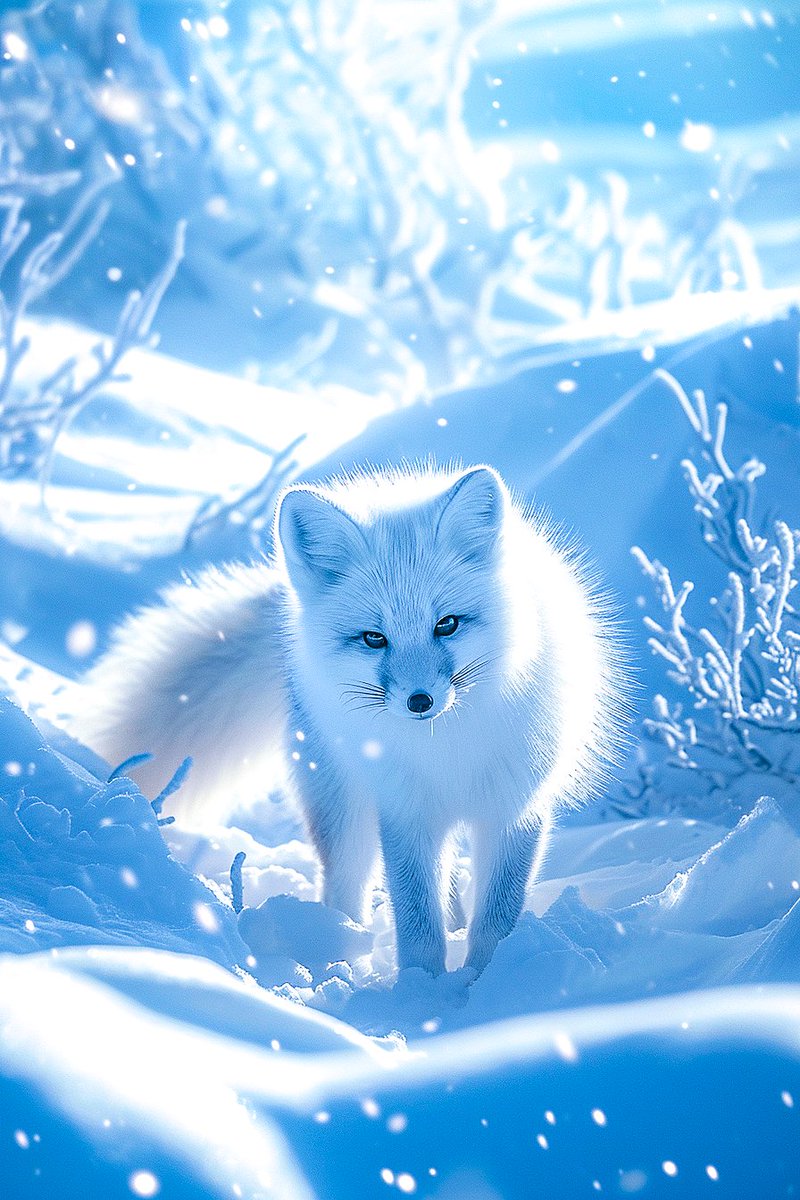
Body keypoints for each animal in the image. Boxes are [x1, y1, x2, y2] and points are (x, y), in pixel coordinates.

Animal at [74, 463, 628, 976]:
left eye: (447, 624)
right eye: (373, 638)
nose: (421, 701)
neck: (446, 749)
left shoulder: (514, 809)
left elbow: (496, 918)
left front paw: (479, 984)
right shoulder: (403, 812)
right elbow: (416, 919)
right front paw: (421, 991)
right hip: (342, 804)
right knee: (347, 884)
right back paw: (338, 951)